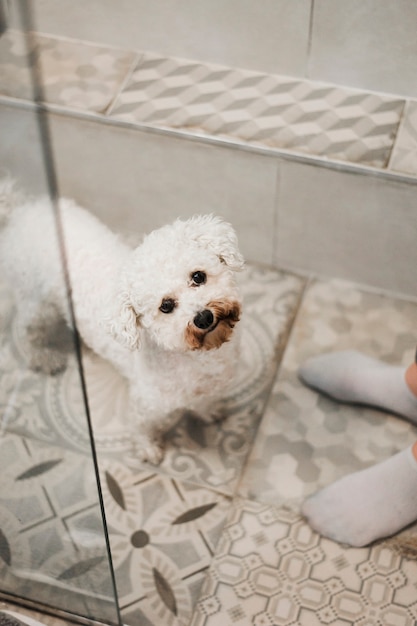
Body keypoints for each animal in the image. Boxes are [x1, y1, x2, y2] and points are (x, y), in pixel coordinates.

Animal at [0, 178, 244, 460]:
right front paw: (148, 449)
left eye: (198, 276)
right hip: (38, 304)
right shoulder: (146, 404)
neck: (198, 360)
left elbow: (204, 402)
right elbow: (141, 427)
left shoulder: (206, 388)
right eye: (166, 306)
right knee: (26, 330)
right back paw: (44, 357)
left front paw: (209, 411)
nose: (203, 317)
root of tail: (18, 211)